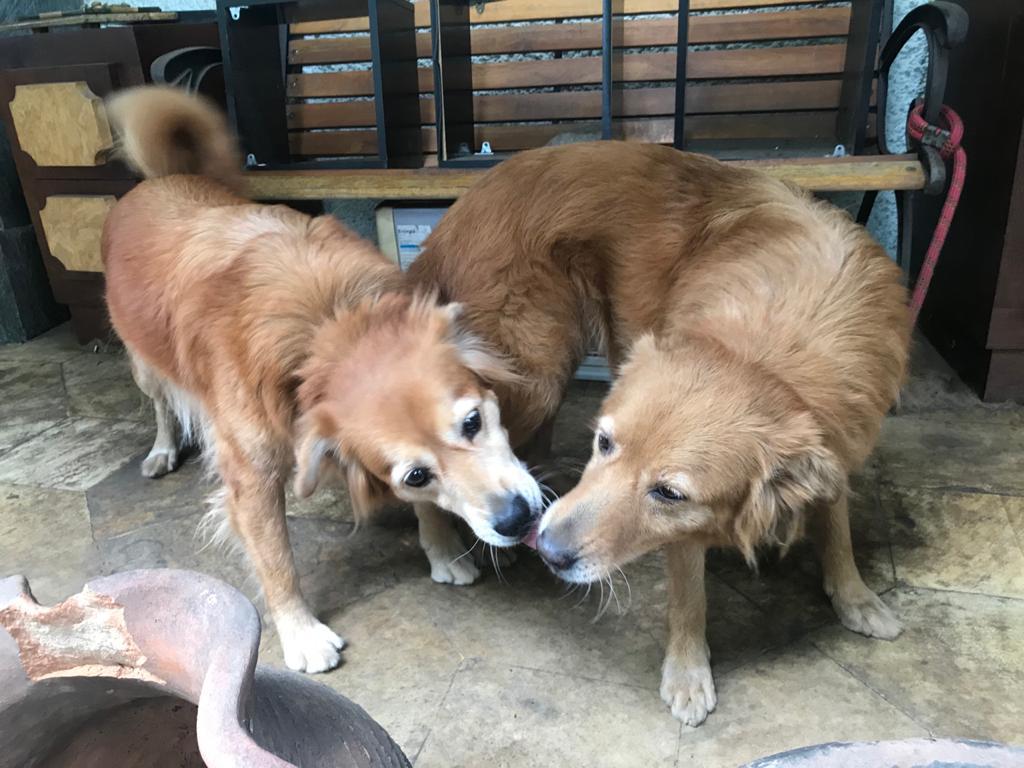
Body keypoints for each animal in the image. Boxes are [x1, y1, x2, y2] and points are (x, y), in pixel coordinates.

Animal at [99, 83, 540, 671]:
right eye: (416, 474)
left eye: (473, 422)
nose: (516, 520)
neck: (326, 329)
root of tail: (161, 180)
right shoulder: (252, 478)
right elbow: (275, 557)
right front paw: (301, 632)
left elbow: (429, 510)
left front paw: (443, 550)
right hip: (144, 363)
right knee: (161, 403)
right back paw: (163, 449)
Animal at [407, 141, 913, 724]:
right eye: (604, 443)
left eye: (668, 492)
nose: (549, 551)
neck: (767, 355)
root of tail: (460, 209)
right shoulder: (688, 530)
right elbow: (689, 596)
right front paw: (688, 674)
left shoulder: (836, 446)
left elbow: (838, 527)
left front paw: (856, 597)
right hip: (531, 376)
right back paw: (452, 547)